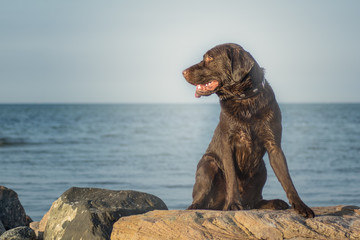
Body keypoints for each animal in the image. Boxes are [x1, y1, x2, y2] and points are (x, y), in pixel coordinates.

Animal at [183, 42, 316, 218]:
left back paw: (275, 203)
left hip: (261, 168)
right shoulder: (228, 144)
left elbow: (287, 180)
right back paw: (197, 206)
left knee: (255, 201)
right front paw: (233, 204)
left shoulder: (274, 146)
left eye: (210, 58)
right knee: (200, 198)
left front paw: (301, 206)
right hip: (207, 164)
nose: (183, 72)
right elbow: (232, 177)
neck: (244, 99)